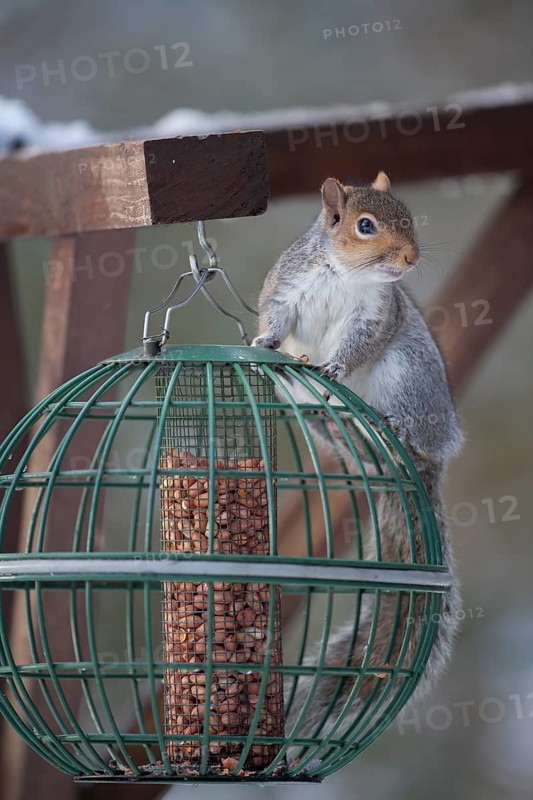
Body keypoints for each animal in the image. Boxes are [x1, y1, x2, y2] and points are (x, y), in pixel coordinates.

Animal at [252, 172, 464, 740]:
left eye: (409, 218)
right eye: (365, 226)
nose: (412, 257)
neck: (346, 274)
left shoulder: (374, 318)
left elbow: (358, 345)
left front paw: (337, 368)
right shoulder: (286, 289)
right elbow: (276, 317)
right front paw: (263, 340)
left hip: (405, 374)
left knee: (411, 433)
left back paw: (392, 426)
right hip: (302, 399)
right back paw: (335, 420)